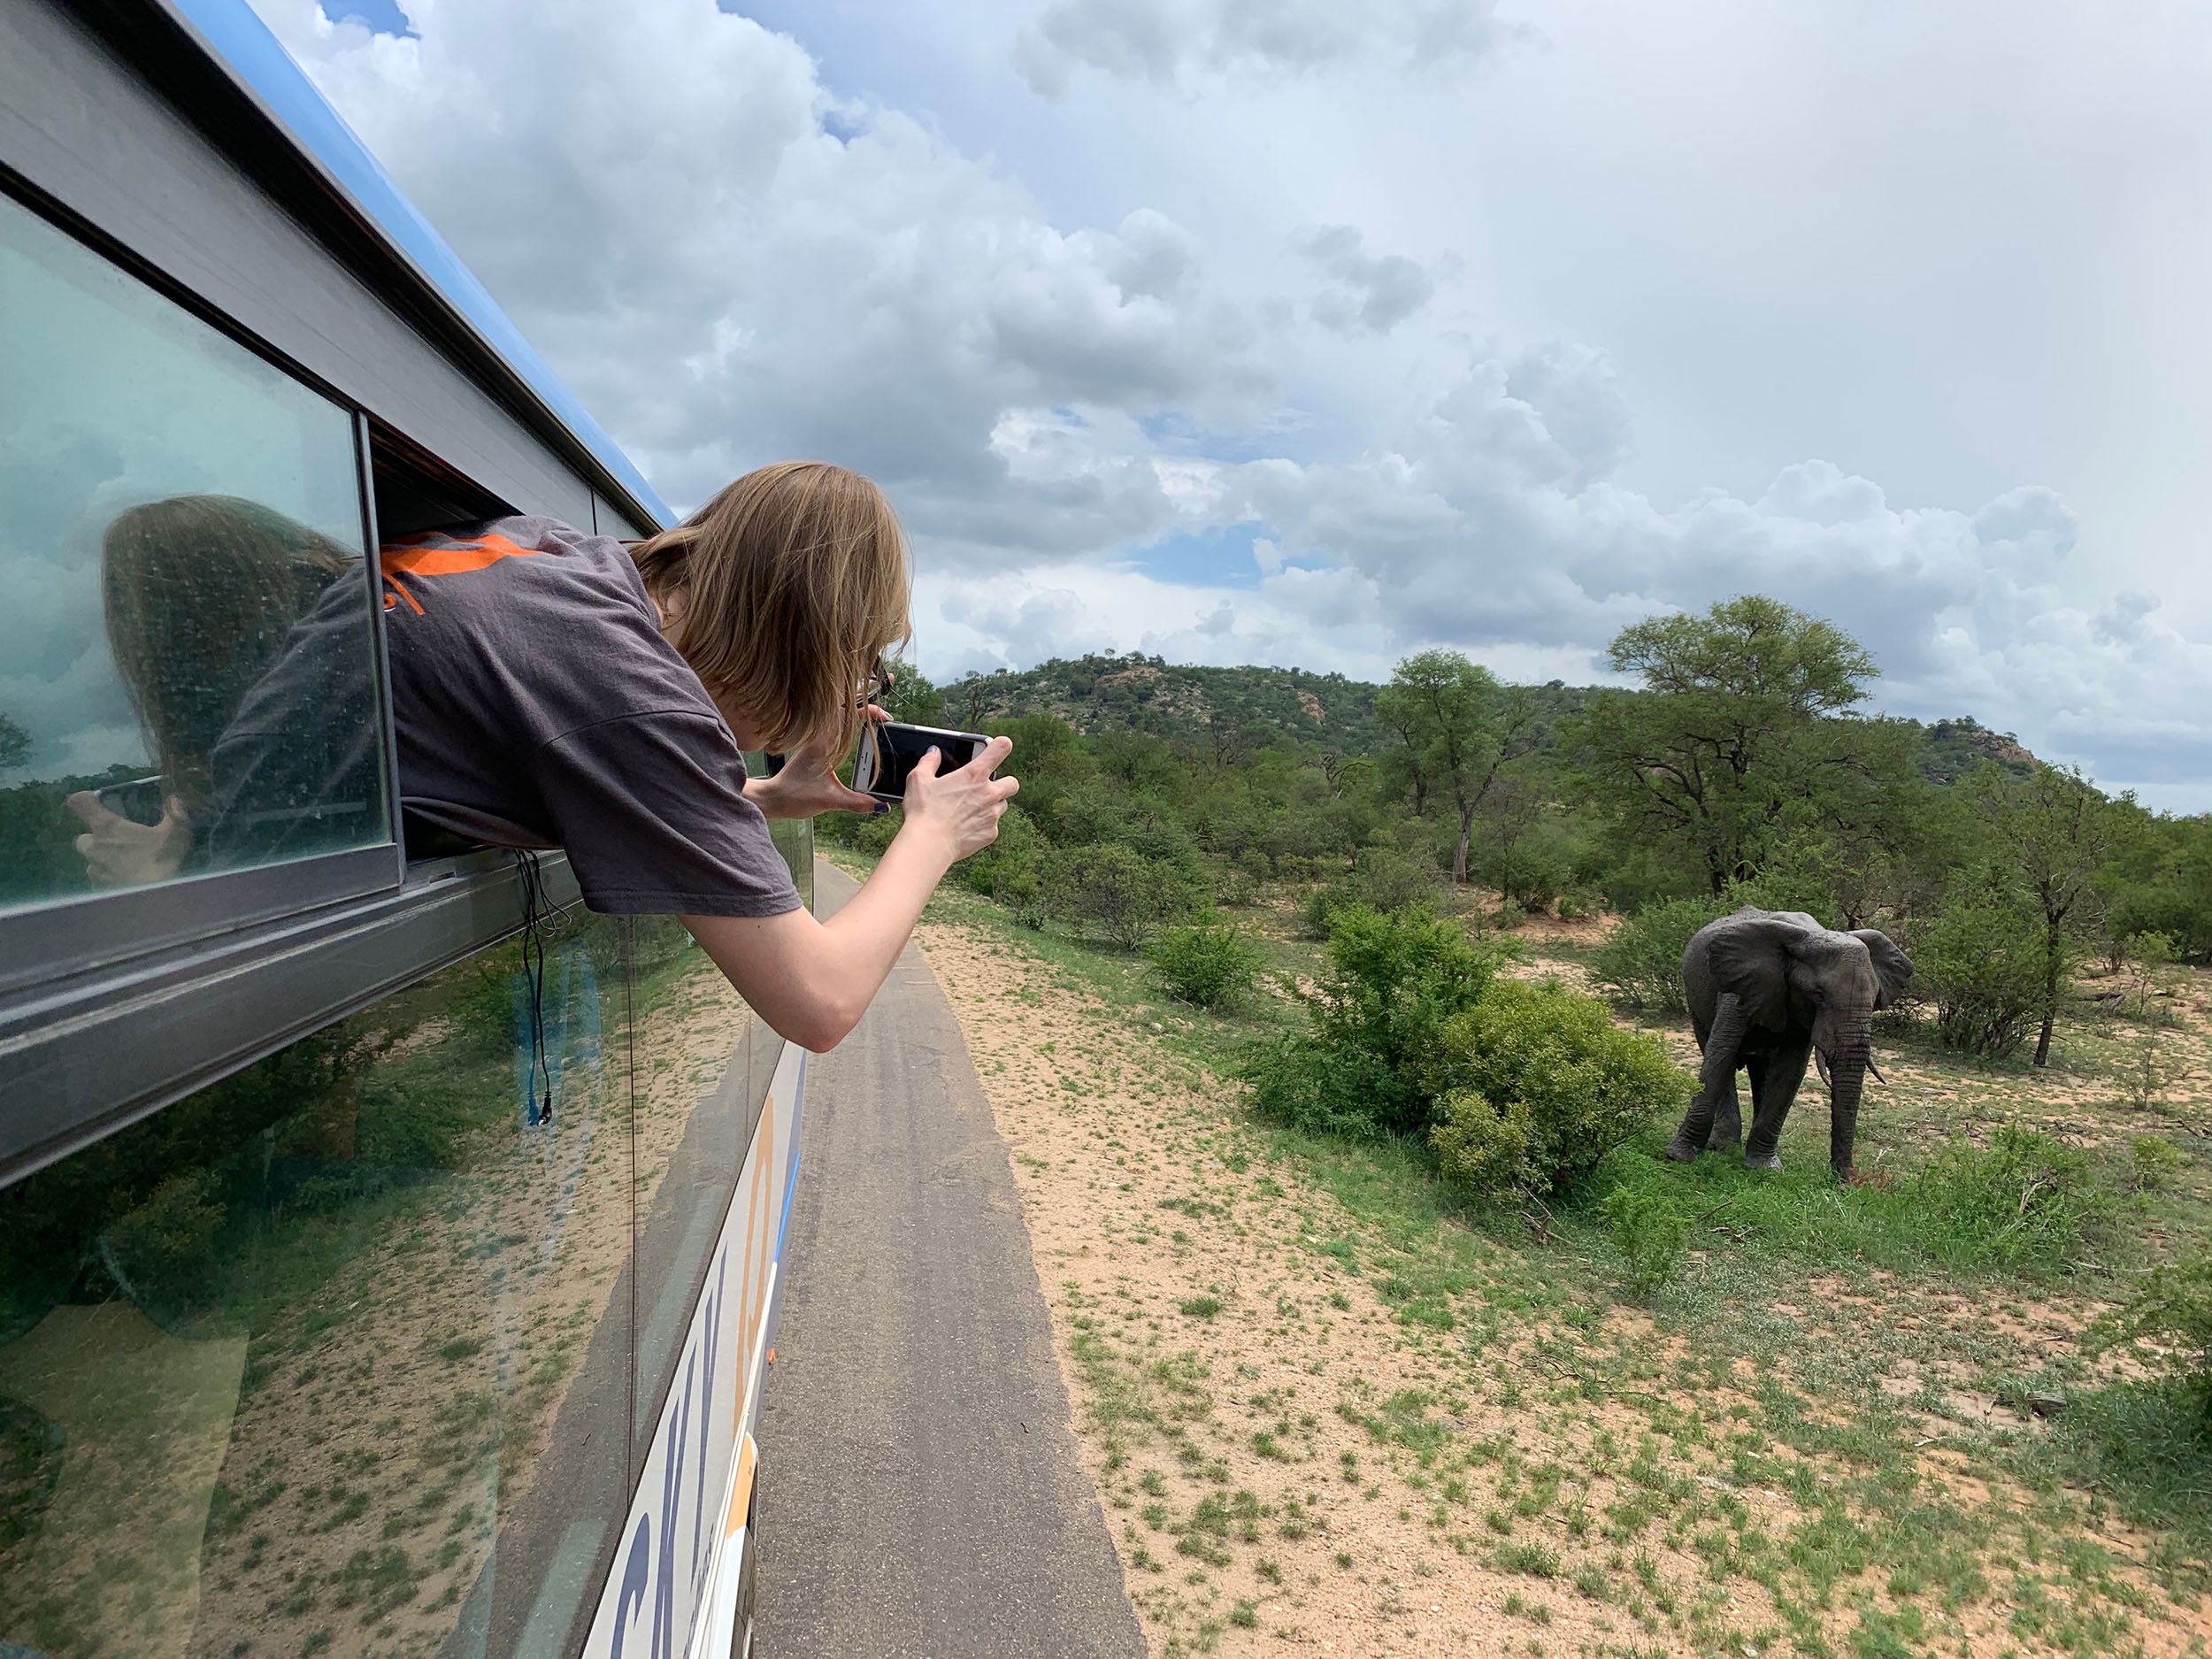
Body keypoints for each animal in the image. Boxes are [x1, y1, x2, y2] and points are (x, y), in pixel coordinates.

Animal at [1663, 911, 1911, 1186]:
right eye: (1817, 995)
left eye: (1875, 997)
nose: (1844, 1181)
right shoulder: (1739, 988)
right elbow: (1721, 1052)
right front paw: (1679, 1158)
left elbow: (1789, 1071)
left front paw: (1763, 1168)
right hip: (1696, 1002)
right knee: (1718, 1054)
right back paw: (1724, 1147)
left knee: (1762, 1071)